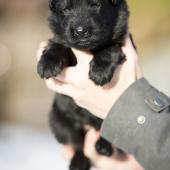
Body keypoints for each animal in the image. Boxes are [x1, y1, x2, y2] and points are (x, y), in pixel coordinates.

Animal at [37, 0, 129, 169]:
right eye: (65, 9)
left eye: (96, 5)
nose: (81, 31)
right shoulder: (61, 37)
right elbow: (59, 43)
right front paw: (47, 63)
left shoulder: (121, 39)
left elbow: (110, 47)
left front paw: (100, 71)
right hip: (57, 121)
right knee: (77, 144)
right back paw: (78, 162)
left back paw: (104, 146)